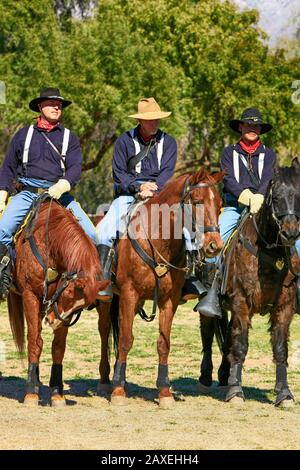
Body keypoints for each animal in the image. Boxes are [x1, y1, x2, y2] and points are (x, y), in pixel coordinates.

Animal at [7, 196, 109, 406]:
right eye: (69, 292)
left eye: (82, 306)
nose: (51, 321)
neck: (48, 241)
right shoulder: (30, 296)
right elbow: (34, 341)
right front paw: (31, 392)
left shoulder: (57, 309)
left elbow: (58, 347)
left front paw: (56, 392)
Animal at [97, 169, 224, 408]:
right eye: (197, 201)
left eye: (220, 203)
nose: (214, 245)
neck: (157, 240)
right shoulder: (128, 294)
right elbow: (126, 340)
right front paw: (118, 391)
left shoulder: (169, 300)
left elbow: (163, 343)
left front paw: (164, 392)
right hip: (107, 301)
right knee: (104, 331)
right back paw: (106, 381)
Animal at [199, 160, 300, 406]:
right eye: (276, 197)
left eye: (299, 195)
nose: (290, 233)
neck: (271, 254)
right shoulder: (241, 303)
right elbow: (240, 345)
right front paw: (236, 391)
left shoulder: (284, 307)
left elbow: (280, 348)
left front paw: (284, 393)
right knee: (208, 333)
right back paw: (206, 375)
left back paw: (224, 375)